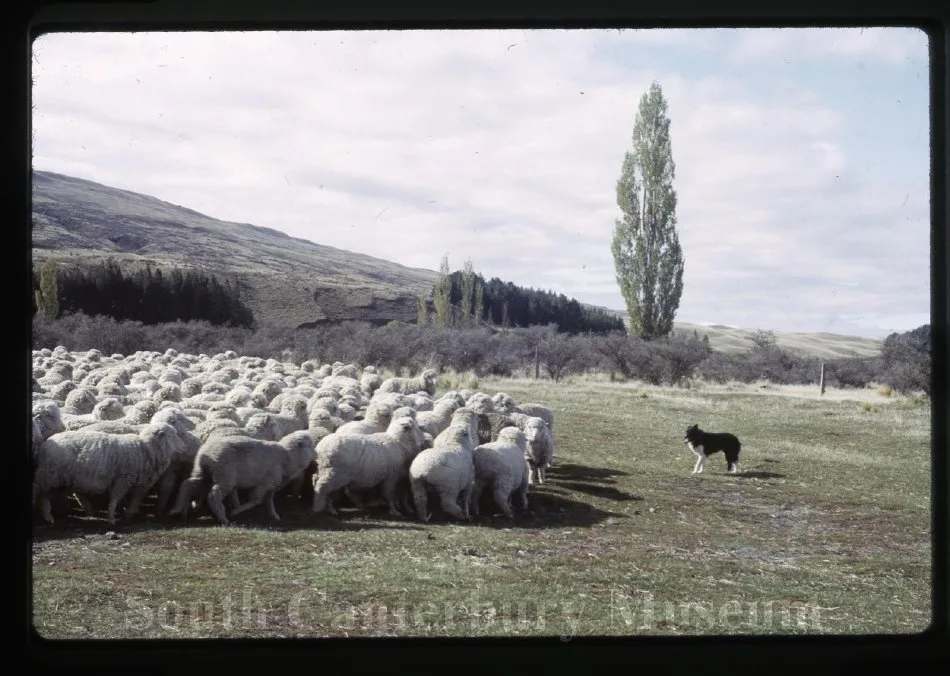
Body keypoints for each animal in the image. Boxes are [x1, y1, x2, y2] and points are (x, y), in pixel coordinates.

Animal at [33, 422, 186, 525]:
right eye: (172, 435)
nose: (183, 448)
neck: (146, 448)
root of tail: (46, 443)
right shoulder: (122, 480)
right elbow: (115, 498)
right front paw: (112, 518)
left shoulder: (136, 482)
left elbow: (135, 498)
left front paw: (128, 513)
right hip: (49, 476)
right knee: (40, 492)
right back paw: (47, 514)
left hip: (64, 480)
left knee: (53, 495)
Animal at [168, 430, 316, 525]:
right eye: (310, 445)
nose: (317, 455)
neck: (288, 457)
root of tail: (206, 452)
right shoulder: (264, 484)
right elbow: (255, 500)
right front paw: (236, 511)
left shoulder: (271, 486)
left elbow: (269, 501)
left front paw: (274, 515)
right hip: (225, 476)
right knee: (213, 495)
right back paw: (223, 517)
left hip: (203, 471)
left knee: (187, 484)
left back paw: (178, 509)